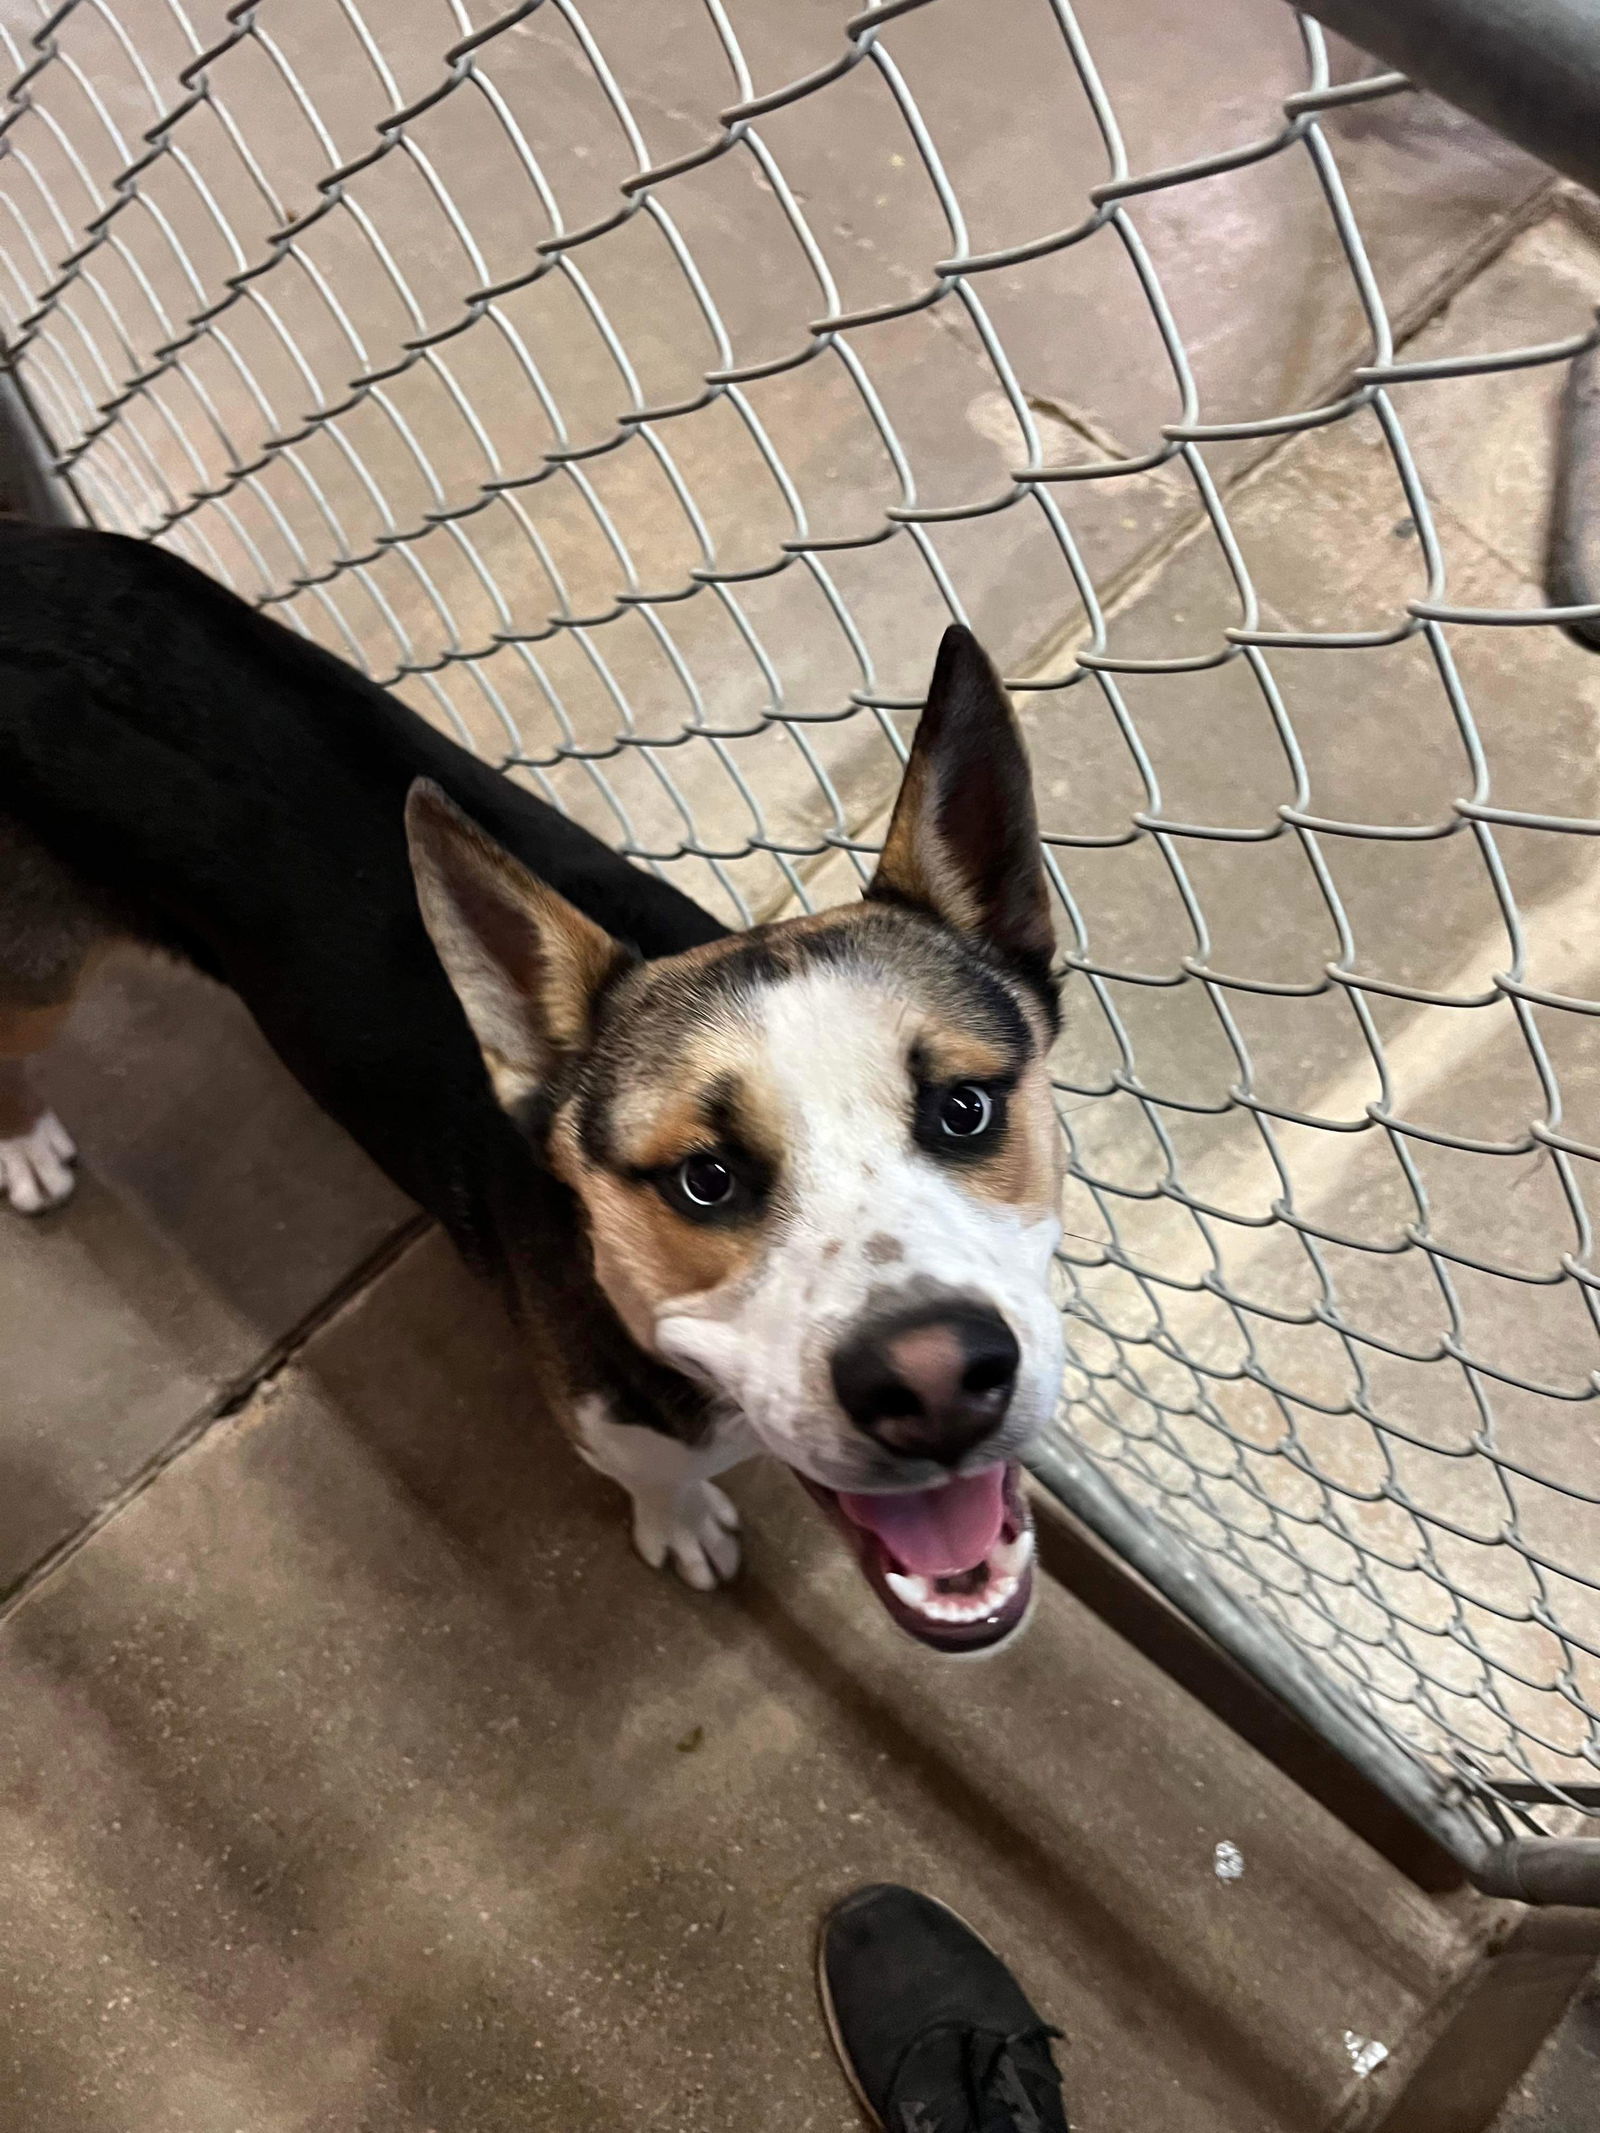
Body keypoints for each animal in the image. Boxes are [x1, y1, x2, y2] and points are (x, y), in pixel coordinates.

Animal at [9, 524, 1079, 1655]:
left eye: (963, 1109)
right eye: (705, 1179)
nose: (935, 1380)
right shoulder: (604, 1413)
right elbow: (652, 1471)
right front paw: (681, 1521)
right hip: (35, 977)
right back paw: (23, 1145)